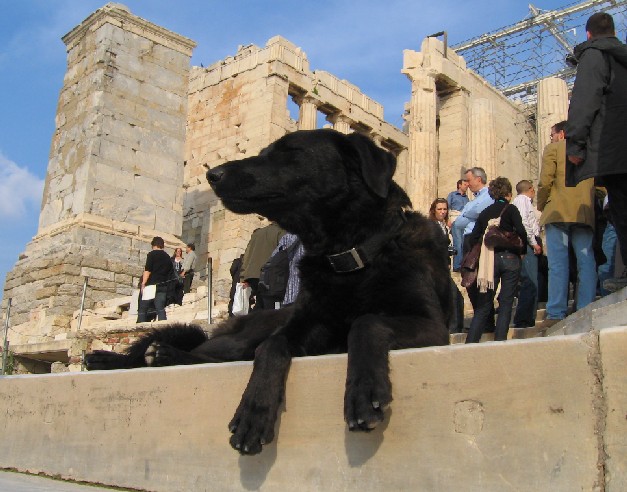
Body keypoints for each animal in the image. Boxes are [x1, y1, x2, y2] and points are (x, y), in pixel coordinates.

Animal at [86, 129, 454, 456]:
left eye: (289, 152)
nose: (213, 175)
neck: (348, 258)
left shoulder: (433, 326)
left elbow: (368, 322)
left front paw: (363, 391)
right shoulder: (300, 328)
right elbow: (272, 346)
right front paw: (254, 411)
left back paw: (157, 356)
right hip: (241, 338)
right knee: (215, 351)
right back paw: (119, 358)